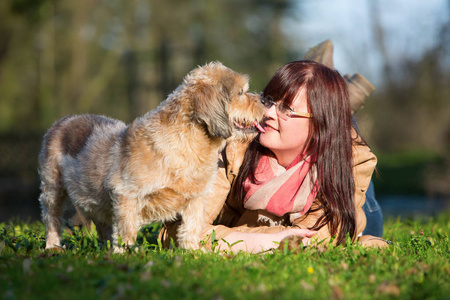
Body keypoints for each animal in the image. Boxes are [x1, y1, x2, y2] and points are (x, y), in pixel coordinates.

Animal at [38, 61, 266, 251]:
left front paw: (192, 253)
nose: (266, 98)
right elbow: (127, 231)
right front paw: (125, 254)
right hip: (53, 189)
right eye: (241, 92)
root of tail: (63, 121)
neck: (189, 143)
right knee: (52, 219)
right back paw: (53, 247)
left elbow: (191, 229)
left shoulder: (196, 199)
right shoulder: (126, 196)